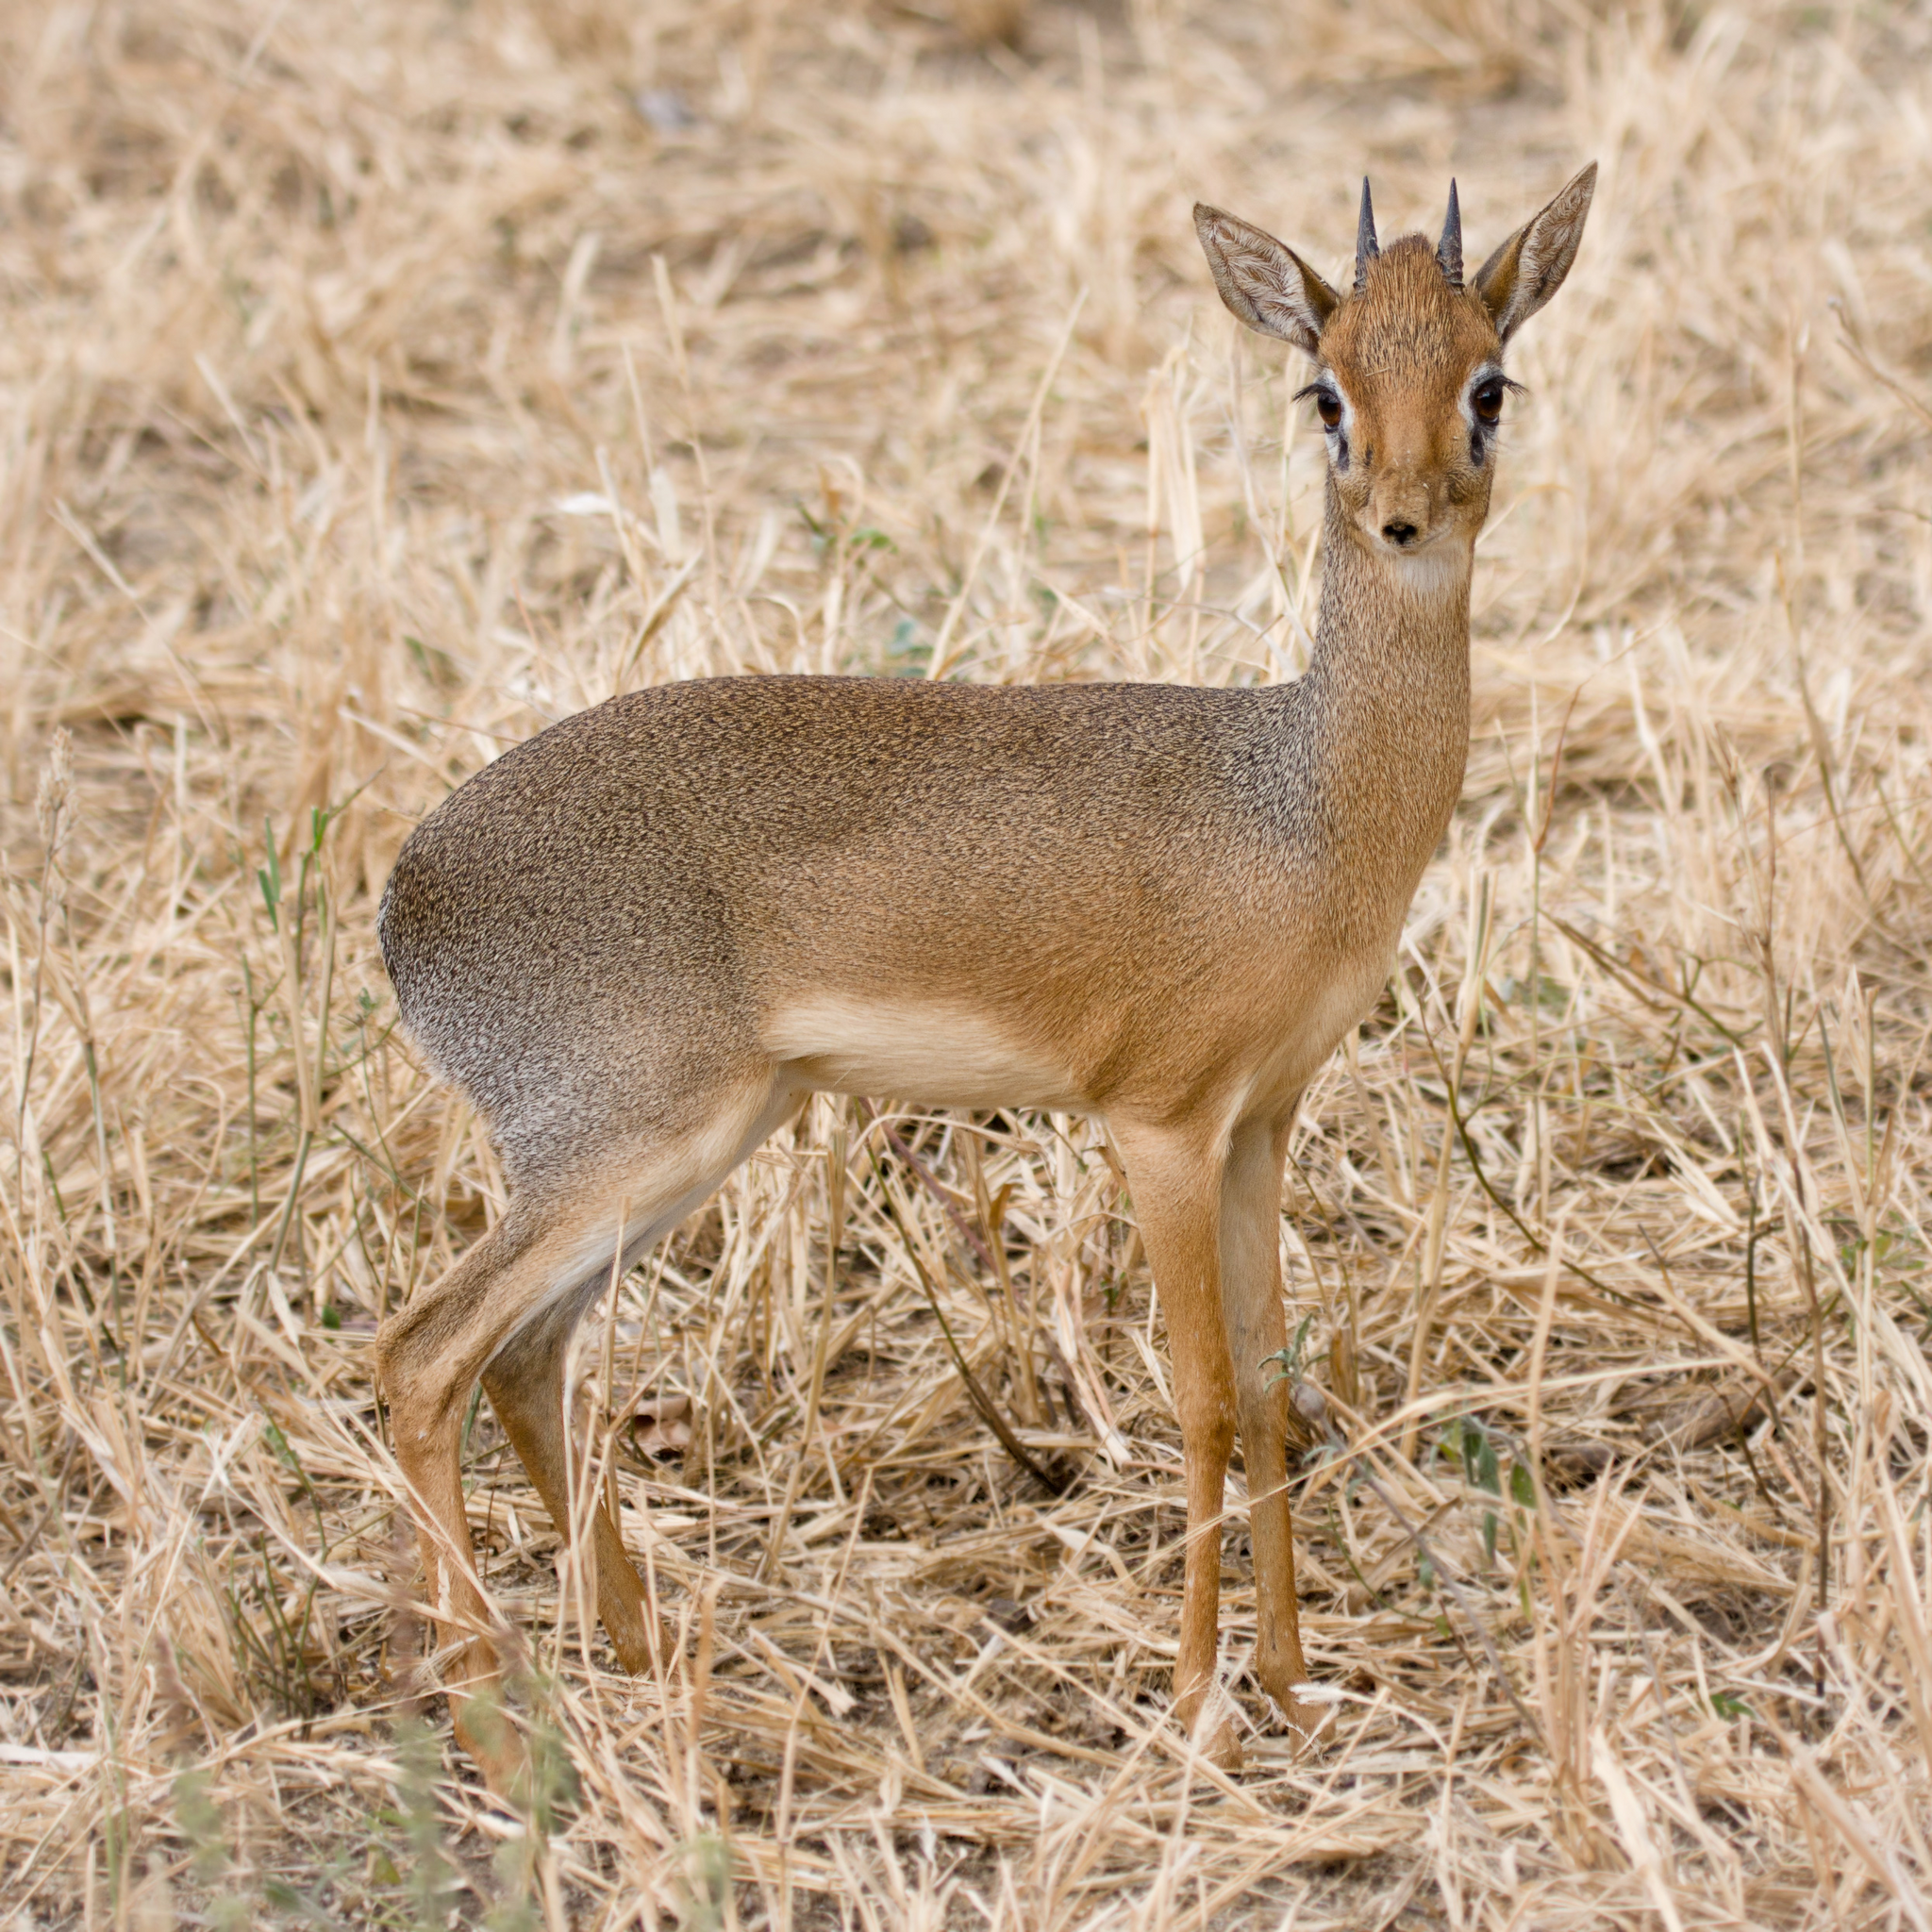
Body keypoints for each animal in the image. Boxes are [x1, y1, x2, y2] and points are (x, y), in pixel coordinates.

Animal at [374, 164, 1596, 1787]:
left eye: (1487, 382)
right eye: (1324, 390)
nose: (1400, 518)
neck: (1302, 806)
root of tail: (406, 898)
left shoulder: (1262, 1126)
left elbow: (1277, 1388)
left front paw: (1289, 1682)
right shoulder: (1158, 1122)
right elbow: (1204, 1401)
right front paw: (1197, 1699)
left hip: (694, 1145)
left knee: (522, 1361)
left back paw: (654, 1670)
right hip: (629, 1143)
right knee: (421, 1357)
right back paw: (497, 1734)